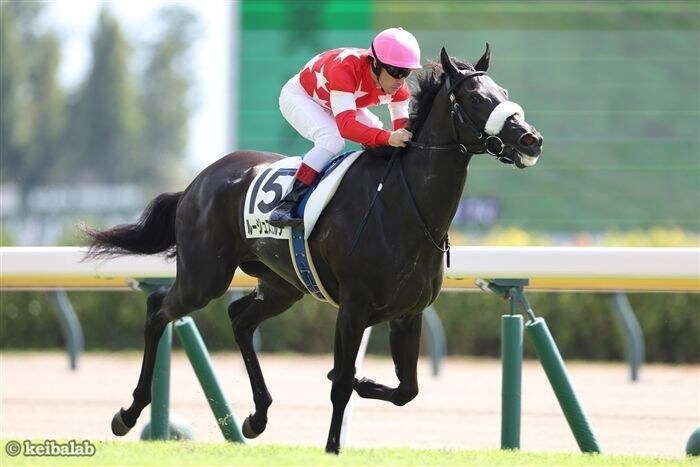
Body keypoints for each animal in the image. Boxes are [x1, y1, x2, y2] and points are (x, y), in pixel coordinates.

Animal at [84, 46, 542, 454]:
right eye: (475, 97)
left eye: (502, 91)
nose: (531, 139)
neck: (402, 206)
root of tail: (196, 183)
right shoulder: (353, 308)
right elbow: (341, 383)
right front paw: (333, 444)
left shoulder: (408, 314)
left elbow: (405, 389)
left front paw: (362, 383)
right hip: (204, 276)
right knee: (158, 309)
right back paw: (128, 413)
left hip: (281, 285)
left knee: (239, 319)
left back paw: (257, 417)